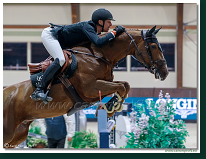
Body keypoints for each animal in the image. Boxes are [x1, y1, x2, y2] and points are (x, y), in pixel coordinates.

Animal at [2, 25, 169, 148]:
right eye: (154, 46)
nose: (165, 73)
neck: (100, 56)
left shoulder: (103, 84)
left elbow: (124, 85)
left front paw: (110, 107)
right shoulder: (91, 88)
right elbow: (121, 87)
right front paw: (110, 108)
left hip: (18, 134)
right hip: (8, 131)